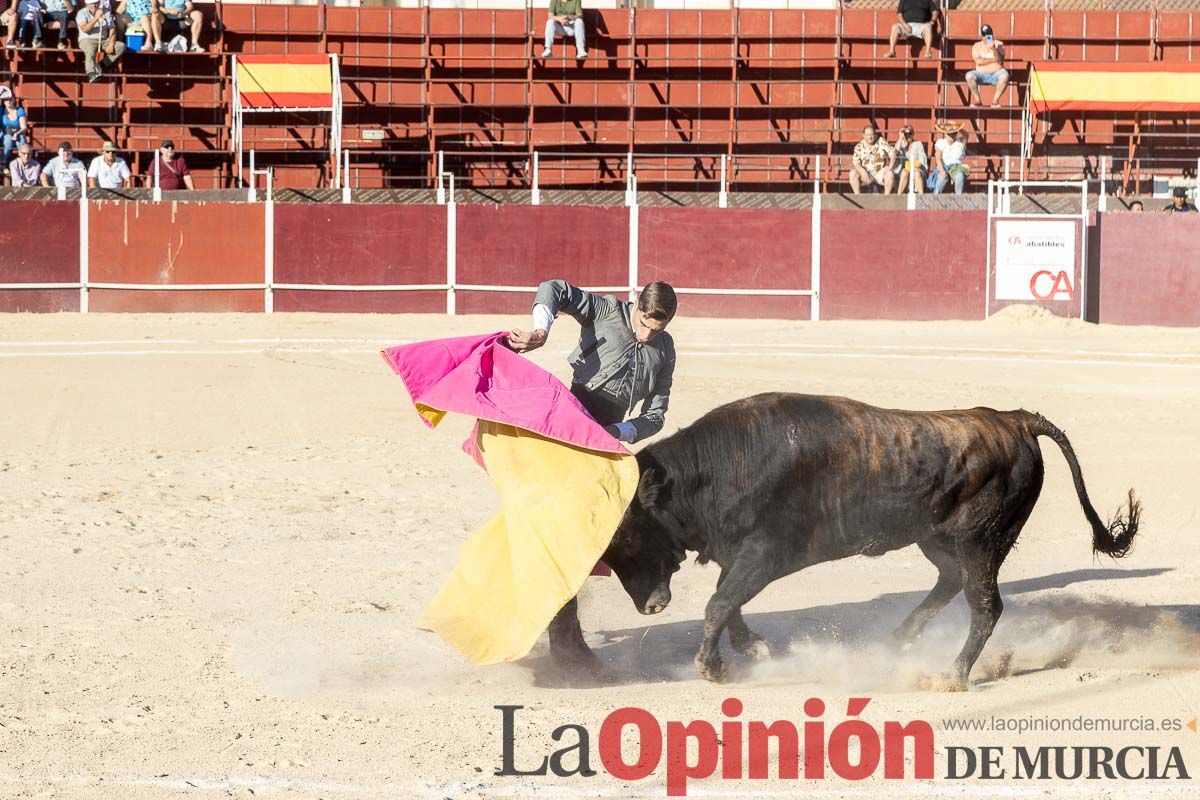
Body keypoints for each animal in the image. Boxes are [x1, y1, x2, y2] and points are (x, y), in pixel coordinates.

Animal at [600, 393, 1142, 690]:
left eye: (625, 533)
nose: (650, 607)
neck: (720, 468)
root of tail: (1014, 419)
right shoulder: (738, 556)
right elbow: (728, 602)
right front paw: (754, 649)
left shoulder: (766, 553)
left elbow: (719, 603)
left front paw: (713, 668)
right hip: (937, 538)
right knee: (950, 584)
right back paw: (895, 644)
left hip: (980, 542)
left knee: (985, 604)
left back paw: (950, 675)